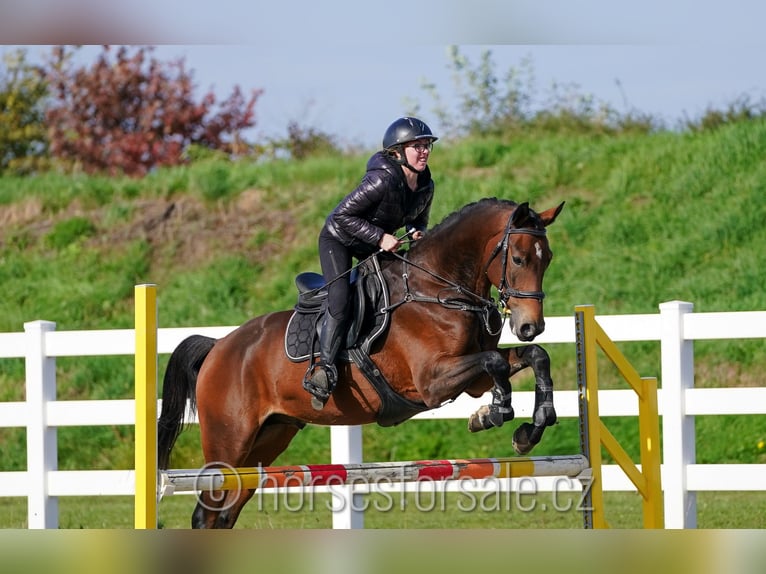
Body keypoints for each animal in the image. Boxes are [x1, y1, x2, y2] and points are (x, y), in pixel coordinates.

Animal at [158, 199, 564, 532]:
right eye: (518, 259)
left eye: (548, 258)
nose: (530, 326)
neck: (437, 289)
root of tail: (218, 347)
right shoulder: (433, 382)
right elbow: (496, 361)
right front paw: (495, 413)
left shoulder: (470, 378)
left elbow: (534, 356)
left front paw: (527, 428)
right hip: (228, 441)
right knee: (206, 513)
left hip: (268, 439)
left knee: (225, 513)